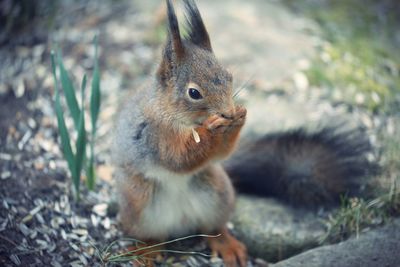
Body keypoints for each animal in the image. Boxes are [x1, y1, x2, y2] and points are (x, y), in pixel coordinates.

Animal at [111, 1, 376, 266]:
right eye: (194, 93)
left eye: (229, 76)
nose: (228, 112)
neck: (180, 117)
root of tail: (181, 224)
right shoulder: (156, 134)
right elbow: (177, 159)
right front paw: (212, 129)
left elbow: (220, 154)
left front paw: (240, 117)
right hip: (139, 205)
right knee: (150, 235)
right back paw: (146, 251)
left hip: (218, 194)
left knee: (212, 229)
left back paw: (226, 244)